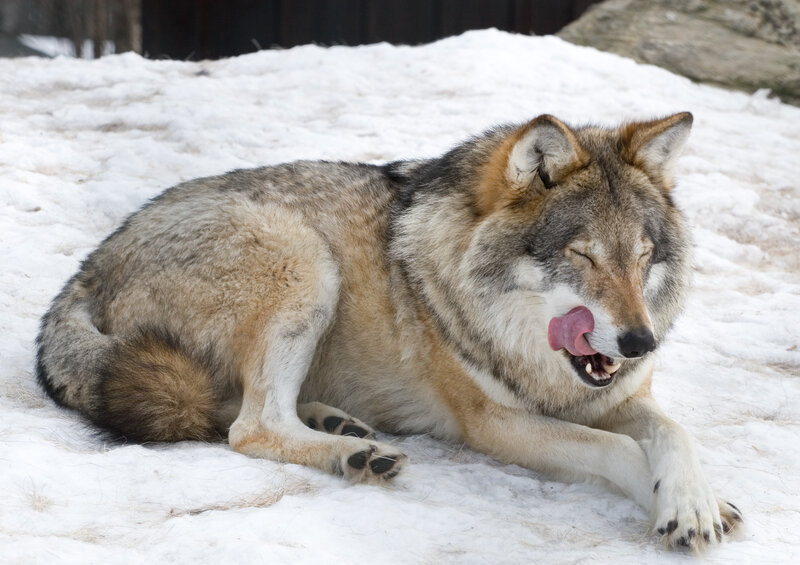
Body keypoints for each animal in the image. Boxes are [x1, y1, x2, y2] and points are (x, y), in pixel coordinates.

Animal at [37, 112, 741, 549]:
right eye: (583, 256)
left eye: (643, 257)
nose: (641, 342)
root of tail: (92, 264)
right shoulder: (498, 425)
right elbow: (620, 450)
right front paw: (671, 504)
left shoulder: (619, 394)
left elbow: (674, 434)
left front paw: (696, 501)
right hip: (305, 261)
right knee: (249, 427)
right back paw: (352, 454)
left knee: (239, 409)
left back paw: (338, 426)